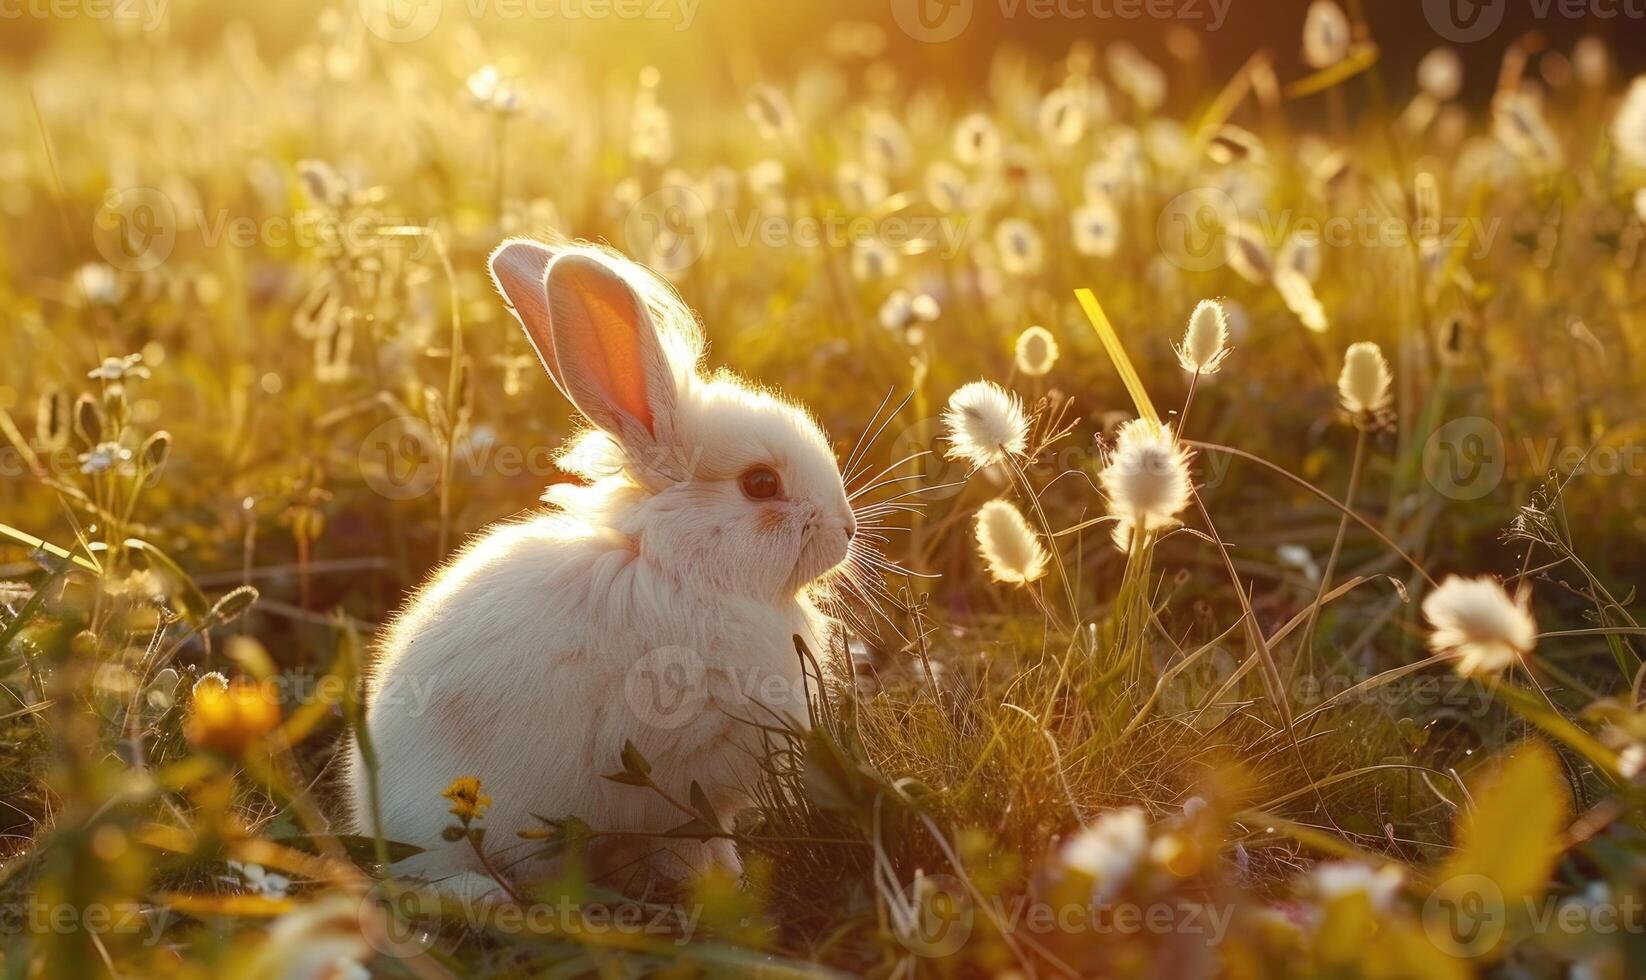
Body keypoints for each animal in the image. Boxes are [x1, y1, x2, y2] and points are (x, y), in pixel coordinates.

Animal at [347, 240, 862, 902]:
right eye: (760, 484)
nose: (846, 530)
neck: (679, 565)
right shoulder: (683, 778)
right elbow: (696, 839)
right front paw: (723, 887)